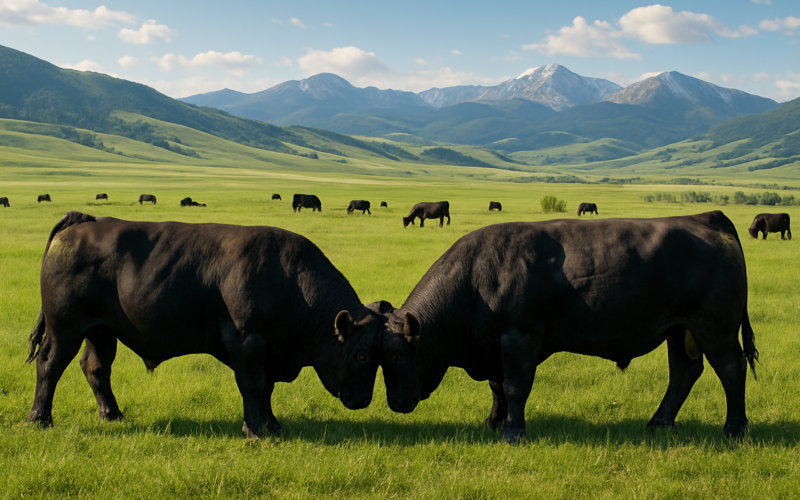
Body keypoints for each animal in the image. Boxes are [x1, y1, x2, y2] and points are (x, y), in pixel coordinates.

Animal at [25, 211, 383, 438]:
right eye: (362, 354)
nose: (364, 399)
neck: (290, 277)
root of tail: (84, 221)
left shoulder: (267, 350)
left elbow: (266, 388)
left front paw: (273, 425)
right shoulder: (247, 340)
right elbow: (253, 386)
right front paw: (254, 431)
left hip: (100, 331)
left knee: (96, 367)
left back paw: (112, 414)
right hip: (65, 329)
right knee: (49, 364)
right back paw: (39, 419)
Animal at [377, 211, 758, 442]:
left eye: (399, 357)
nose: (395, 402)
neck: (475, 277)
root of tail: (706, 218)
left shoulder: (520, 335)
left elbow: (515, 387)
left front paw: (513, 432)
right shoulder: (496, 345)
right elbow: (498, 388)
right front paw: (493, 422)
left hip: (715, 328)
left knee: (731, 368)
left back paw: (734, 428)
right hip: (680, 330)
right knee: (683, 372)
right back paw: (659, 422)